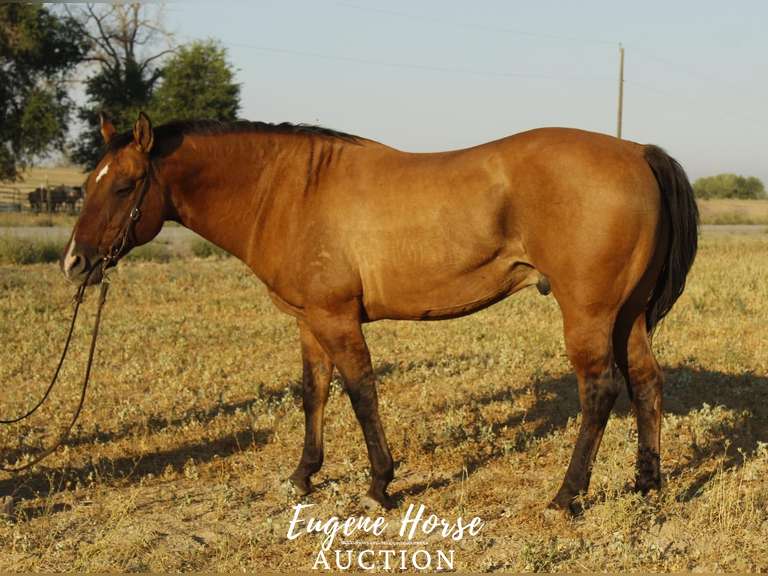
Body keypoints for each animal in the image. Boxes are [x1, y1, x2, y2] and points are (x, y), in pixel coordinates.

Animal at [61, 111, 698, 513]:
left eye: (125, 185)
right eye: (88, 181)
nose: (75, 263)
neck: (290, 191)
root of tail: (638, 152)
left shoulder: (338, 319)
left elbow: (361, 393)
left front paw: (379, 485)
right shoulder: (309, 320)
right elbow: (314, 393)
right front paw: (303, 476)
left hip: (588, 315)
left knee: (600, 392)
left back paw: (566, 497)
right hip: (626, 316)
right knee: (646, 383)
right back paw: (646, 484)